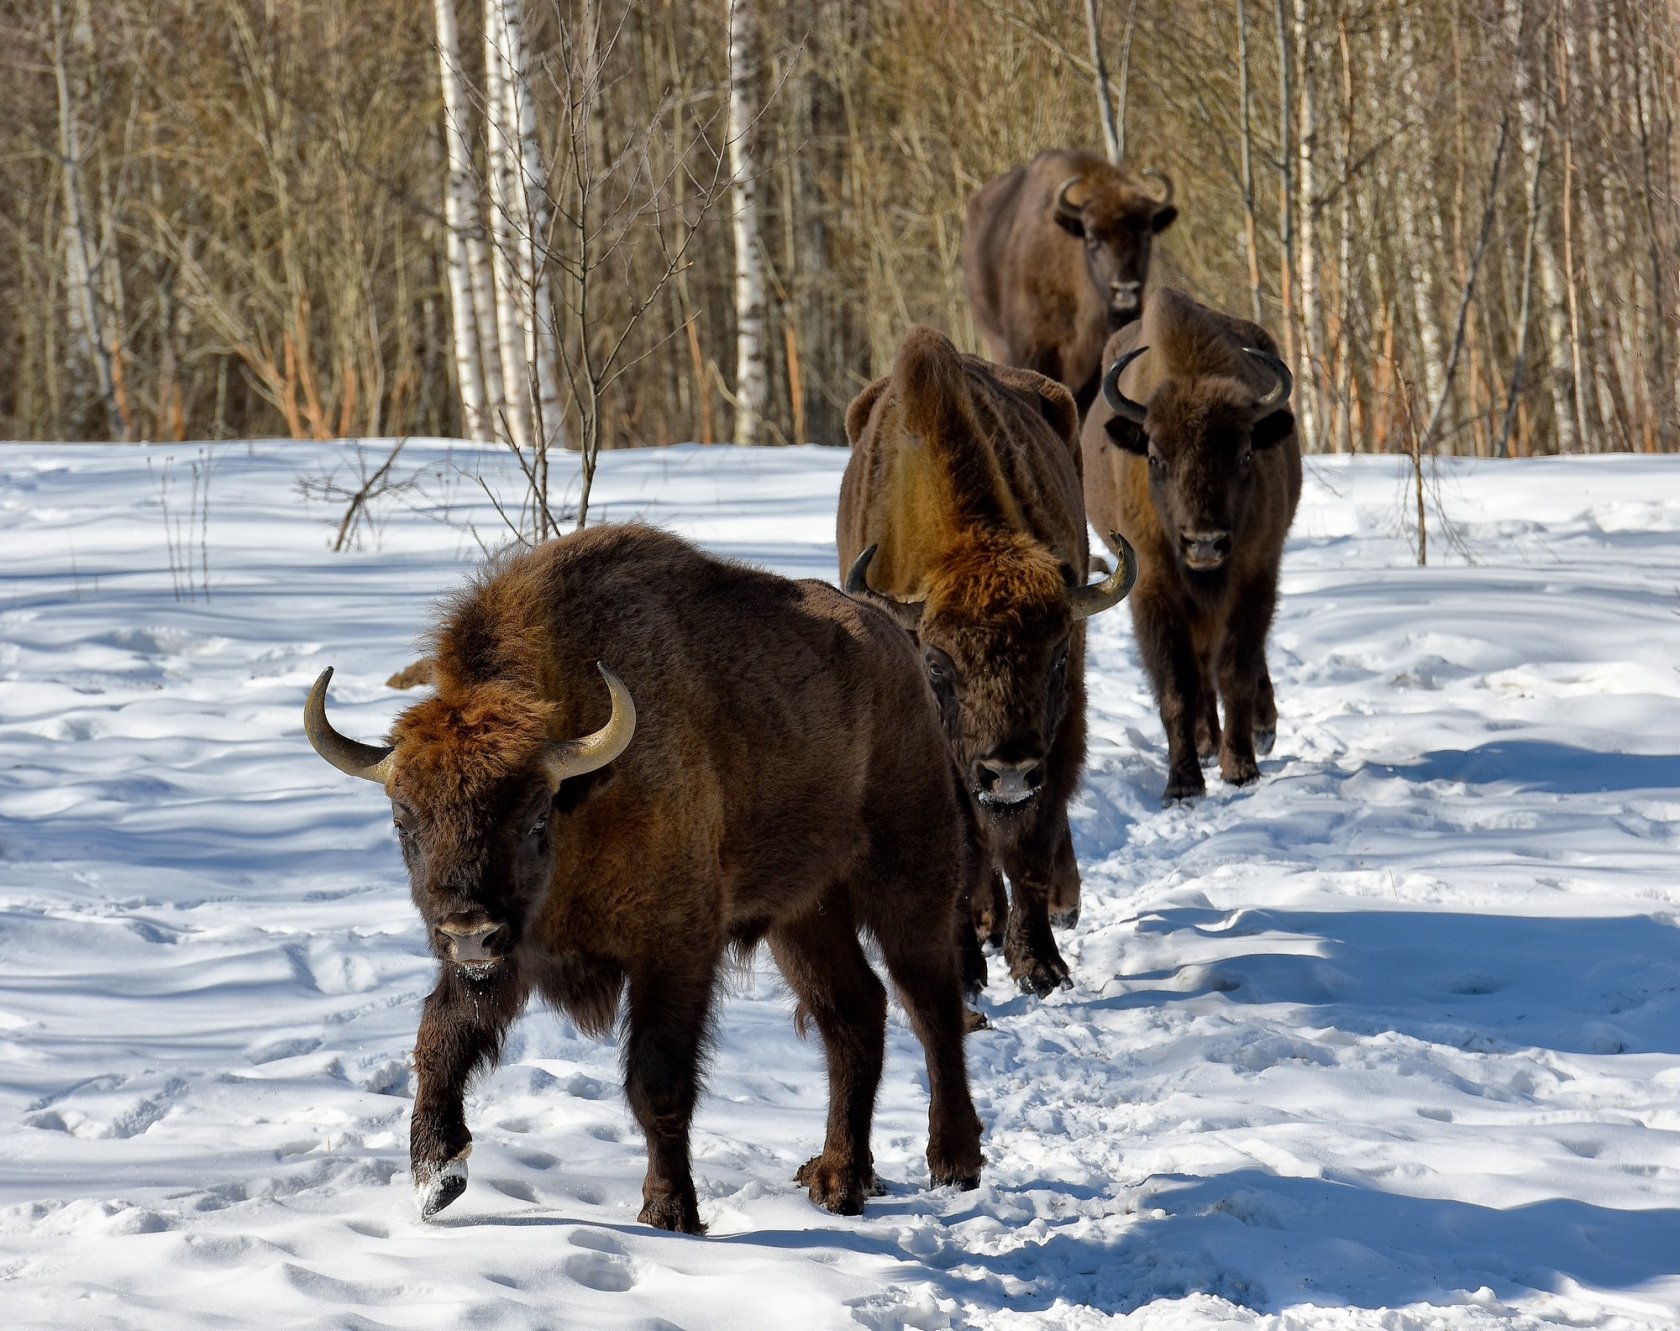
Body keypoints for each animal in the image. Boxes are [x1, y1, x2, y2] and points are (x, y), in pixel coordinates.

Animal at [304, 520, 981, 1236]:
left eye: (534, 817)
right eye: (404, 821)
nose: (467, 931)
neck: (586, 793)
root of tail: (892, 638)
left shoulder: (674, 949)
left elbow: (656, 1080)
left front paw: (669, 1210)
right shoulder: (506, 955)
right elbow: (441, 1035)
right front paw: (437, 1179)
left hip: (910, 878)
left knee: (931, 1006)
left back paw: (954, 1163)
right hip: (803, 913)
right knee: (854, 1010)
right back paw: (837, 1179)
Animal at [840, 324, 1142, 994]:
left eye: (1056, 657)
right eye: (935, 666)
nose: (1007, 772)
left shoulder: (1058, 729)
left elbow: (1031, 839)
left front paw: (1041, 965)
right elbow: (962, 841)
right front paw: (963, 965)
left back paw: (1056, 906)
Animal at [1081, 289, 1303, 799]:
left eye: (1245, 454)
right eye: (1155, 457)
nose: (1204, 544)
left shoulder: (1256, 576)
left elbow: (1237, 670)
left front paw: (1240, 767)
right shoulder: (1152, 589)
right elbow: (1177, 686)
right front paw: (1182, 783)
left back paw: (1260, 730)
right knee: (1200, 669)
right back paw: (1205, 744)